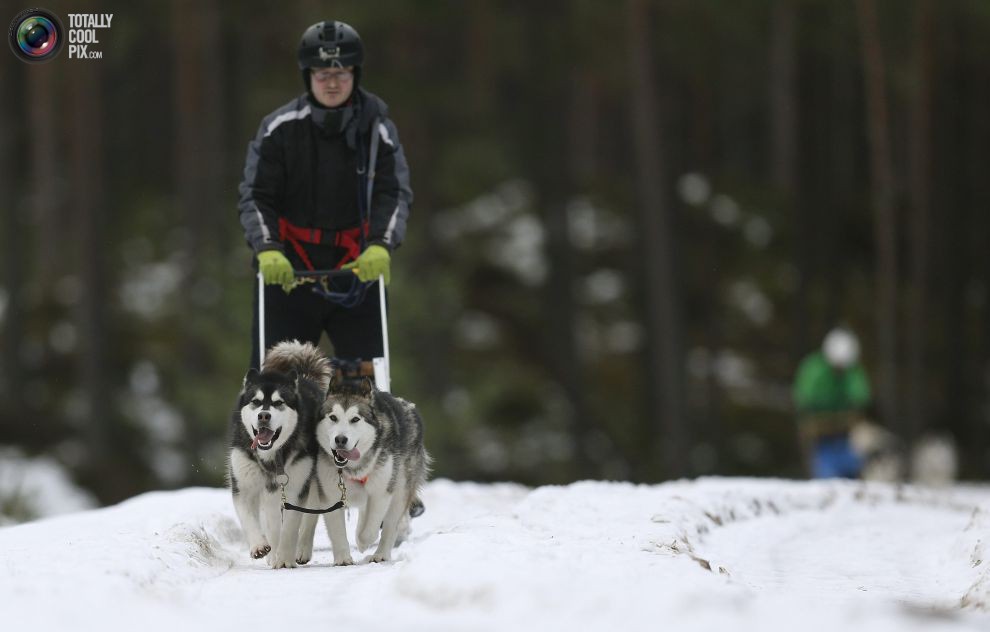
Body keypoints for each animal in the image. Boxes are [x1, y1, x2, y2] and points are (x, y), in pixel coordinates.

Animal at [227, 340, 332, 568]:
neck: (271, 457)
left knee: (309, 519)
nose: (263, 416)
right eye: (256, 402)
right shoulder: (244, 486)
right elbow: (251, 520)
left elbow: (291, 526)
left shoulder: (297, 487)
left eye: (278, 403)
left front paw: (284, 557)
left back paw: (301, 550)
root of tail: (305, 378)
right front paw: (260, 547)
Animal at [304, 378, 432, 564]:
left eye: (355, 419)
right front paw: (343, 558)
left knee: (391, 524)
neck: (352, 468)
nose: (340, 439)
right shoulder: (330, 494)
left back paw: (380, 554)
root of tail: (409, 407)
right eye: (333, 417)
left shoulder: (381, 491)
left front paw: (364, 542)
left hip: (401, 488)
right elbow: (337, 530)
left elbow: (371, 529)